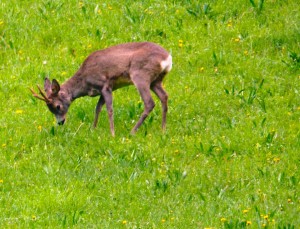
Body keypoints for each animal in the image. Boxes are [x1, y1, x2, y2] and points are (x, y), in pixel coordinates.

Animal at [31, 41, 172, 135]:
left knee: (149, 102)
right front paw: (93, 129)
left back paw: (132, 132)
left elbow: (109, 109)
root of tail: (167, 58)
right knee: (164, 96)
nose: (60, 122)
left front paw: (112, 134)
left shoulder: (105, 85)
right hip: (155, 81)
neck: (84, 81)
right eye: (49, 109)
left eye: (58, 106)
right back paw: (163, 129)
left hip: (140, 75)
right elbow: (98, 108)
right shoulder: (102, 91)